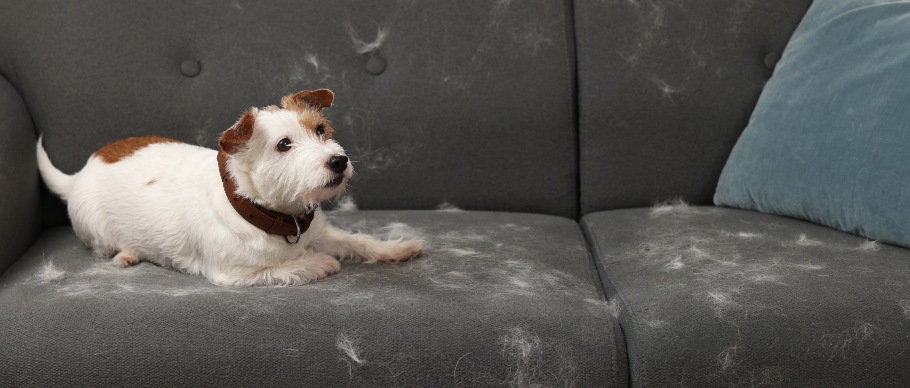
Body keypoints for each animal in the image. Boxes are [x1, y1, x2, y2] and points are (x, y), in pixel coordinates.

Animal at [37, 89, 426, 286]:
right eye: (284, 144)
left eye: (320, 130)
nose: (338, 161)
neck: (271, 215)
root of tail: (81, 172)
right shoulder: (235, 275)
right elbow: (291, 266)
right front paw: (320, 262)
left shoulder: (321, 231)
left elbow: (357, 241)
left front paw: (398, 248)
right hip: (97, 231)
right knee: (102, 247)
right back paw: (127, 254)